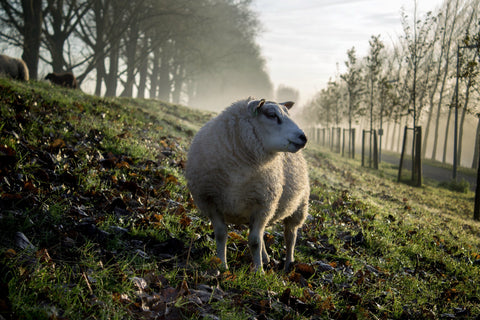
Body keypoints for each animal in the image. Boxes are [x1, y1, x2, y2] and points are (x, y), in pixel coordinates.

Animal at [186, 97, 310, 272]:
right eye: (272, 115)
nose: (303, 137)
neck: (238, 172)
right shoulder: (210, 201)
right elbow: (221, 234)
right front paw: (222, 265)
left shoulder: (263, 205)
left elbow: (254, 241)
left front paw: (258, 272)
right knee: (265, 233)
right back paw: (266, 258)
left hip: (299, 207)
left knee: (290, 235)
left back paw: (288, 264)